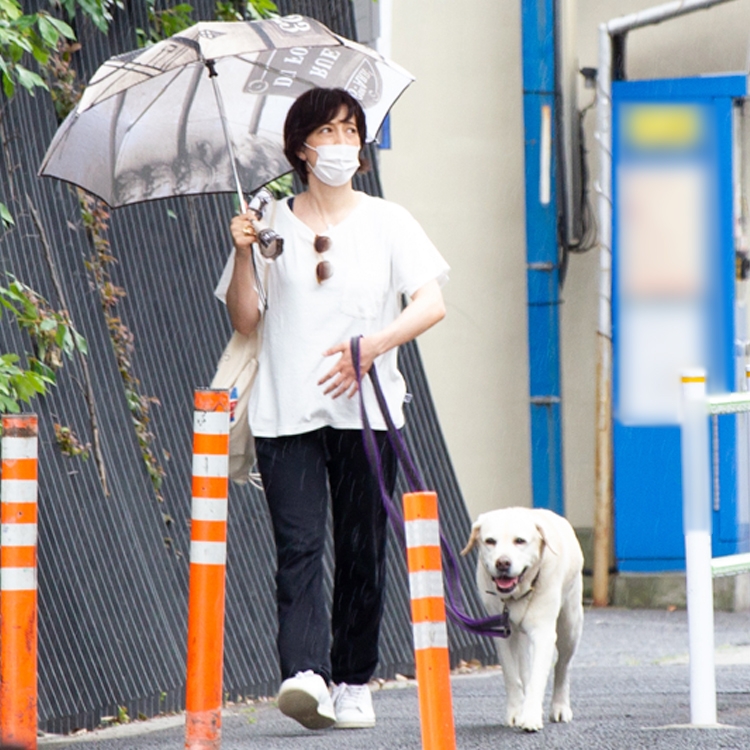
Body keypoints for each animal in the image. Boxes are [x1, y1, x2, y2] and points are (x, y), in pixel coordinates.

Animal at [464, 512, 588, 736]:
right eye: (490, 541)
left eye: (520, 541)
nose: (503, 563)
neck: (517, 594)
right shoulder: (502, 635)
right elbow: (512, 676)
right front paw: (516, 712)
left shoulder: (543, 634)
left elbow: (538, 677)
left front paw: (530, 717)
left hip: (570, 626)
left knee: (562, 666)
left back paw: (560, 707)